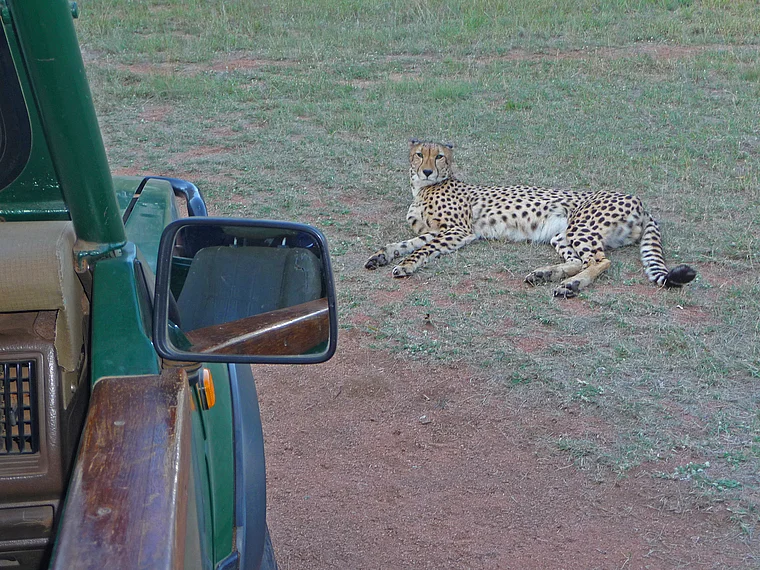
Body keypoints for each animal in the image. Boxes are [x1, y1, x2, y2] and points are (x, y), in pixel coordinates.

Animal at [365, 139, 697, 298]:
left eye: (439, 156)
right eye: (419, 154)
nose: (426, 171)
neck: (422, 188)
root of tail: (640, 202)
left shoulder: (458, 231)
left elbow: (421, 249)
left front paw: (406, 266)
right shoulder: (436, 231)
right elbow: (404, 242)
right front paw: (381, 256)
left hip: (580, 227)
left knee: (600, 261)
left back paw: (570, 287)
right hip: (562, 233)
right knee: (579, 260)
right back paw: (545, 275)